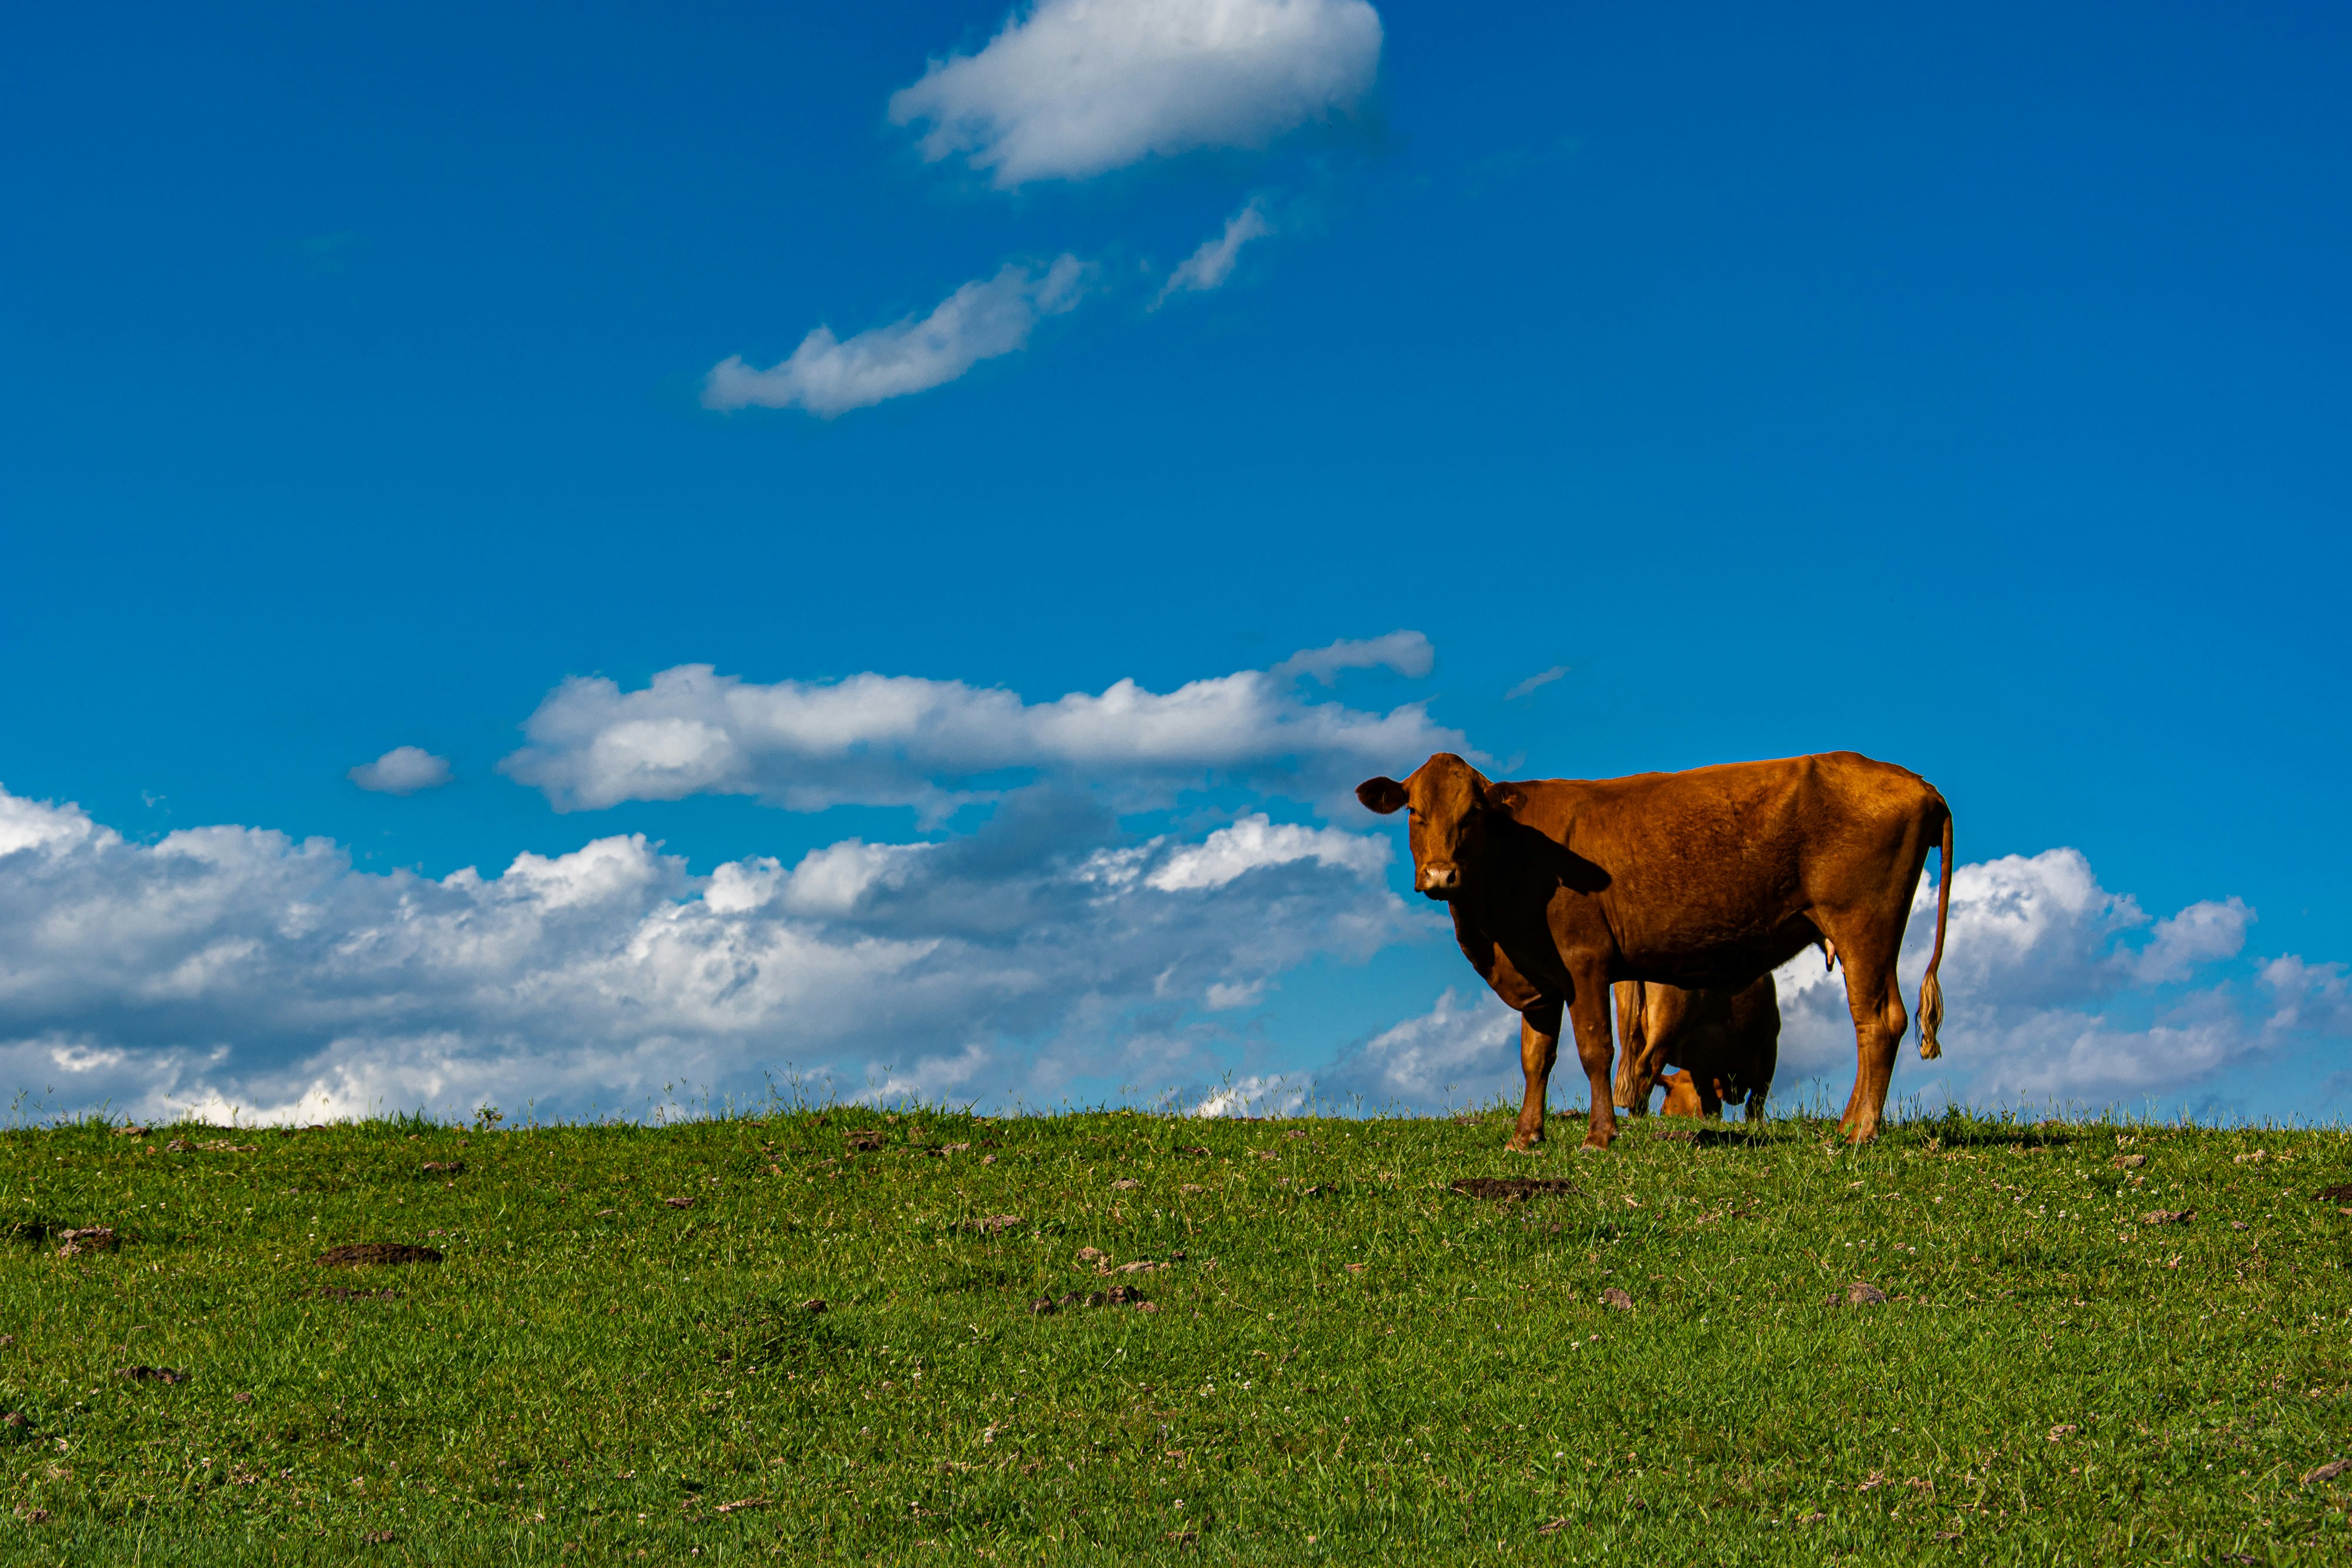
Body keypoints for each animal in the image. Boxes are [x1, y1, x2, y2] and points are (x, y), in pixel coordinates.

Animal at [1612, 976, 1779, 1122]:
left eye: (1665, 1110)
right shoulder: (1769, 1045)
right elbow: (1756, 1099)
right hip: (1666, 1028)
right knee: (1646, 1068)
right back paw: (1639, 1115)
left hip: (1629, 1022)